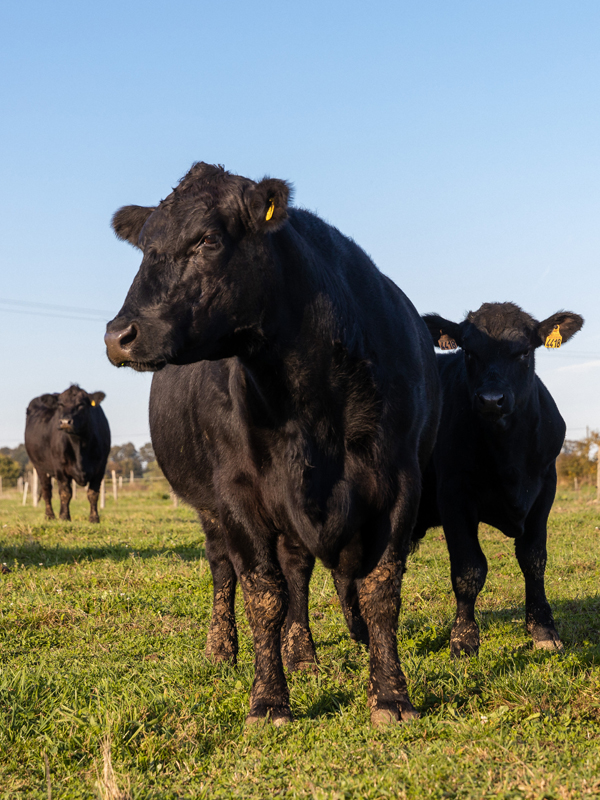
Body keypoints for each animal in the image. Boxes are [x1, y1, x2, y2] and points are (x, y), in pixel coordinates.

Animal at [24, 388, 111, 524]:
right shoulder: (60, 468)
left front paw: (94, 518)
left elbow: (93, 493)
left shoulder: (100, 467)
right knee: (46, 491)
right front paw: (64, 516)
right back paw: (50, 515)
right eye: (60, 405)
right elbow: (65, 493)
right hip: (40, 467)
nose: (65, 422)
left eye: (81, 404)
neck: (79, 444)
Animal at [104, 161, 440, 724]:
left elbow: (380, 590)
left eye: (208, 240)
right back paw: (222, 649)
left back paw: (301, 652)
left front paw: (392, 695)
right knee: (224, 570)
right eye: (146, 245)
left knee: (298, 572)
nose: (118, 335)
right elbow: (263, 593)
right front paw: (267, 699)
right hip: (210, 508)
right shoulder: (239, 493)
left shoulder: (399, 482)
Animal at [414, 304, 584, 660]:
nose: (492, 400)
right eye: (468, 351)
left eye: (524, 352)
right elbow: (469, 569)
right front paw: (464, 638)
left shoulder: (545, 487)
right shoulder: (453, 493)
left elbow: (533, 560)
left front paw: (543, 630)